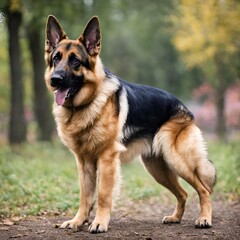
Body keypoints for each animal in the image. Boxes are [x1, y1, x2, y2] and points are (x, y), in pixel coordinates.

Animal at [44, 15, 216, 232]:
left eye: (75, 60)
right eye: (56, 58)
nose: (55, 79)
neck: (84, 105)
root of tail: (183, 106)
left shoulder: (107, 159)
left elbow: (102, 195)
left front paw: (99, 223)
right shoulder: (84, 163)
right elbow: (85, 196)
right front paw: (78, 221)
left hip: (177, 159)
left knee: (204, 189)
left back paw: (205, 219)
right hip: (158, 169)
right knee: (183, 193)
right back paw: (176, 217)